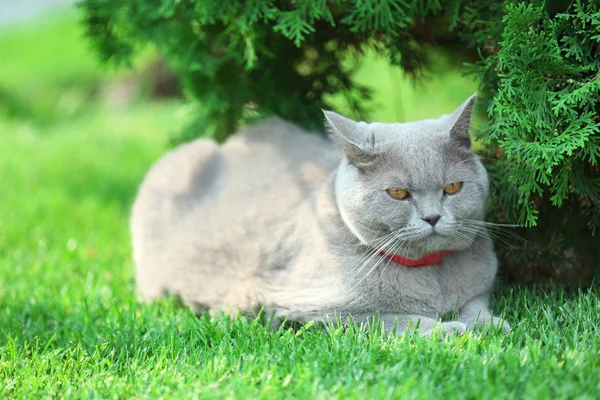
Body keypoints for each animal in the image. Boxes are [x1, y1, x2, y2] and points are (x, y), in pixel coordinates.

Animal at [131, 95, 510, 336]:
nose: (432, 217)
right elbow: (391, 319)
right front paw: (450, 331)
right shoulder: (309, 309)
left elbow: (476, 304)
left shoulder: (481, 288)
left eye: (453, 188)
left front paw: (489, 325)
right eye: (399, 193)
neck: (433, 278)